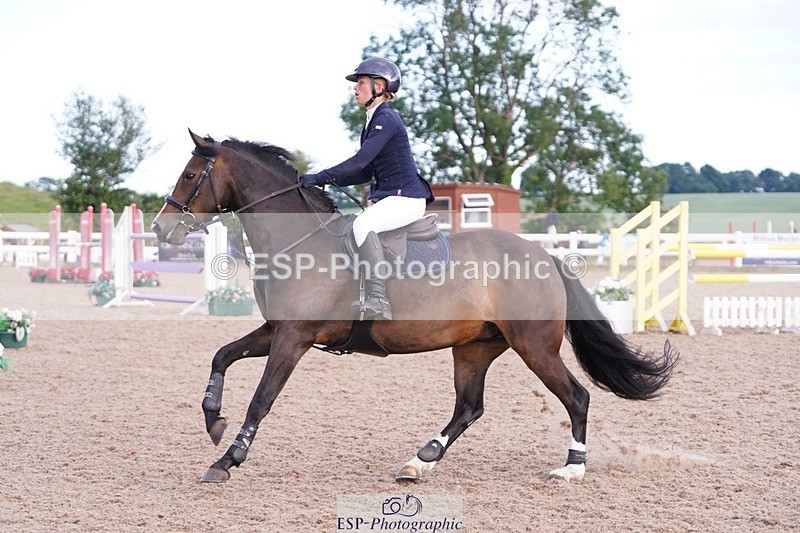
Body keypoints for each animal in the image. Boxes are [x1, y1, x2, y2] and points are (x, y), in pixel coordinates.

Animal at [151, 129, 679, 484]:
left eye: (191, 175)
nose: (160, 228)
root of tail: (544, 255)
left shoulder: (294, 337)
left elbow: (262, 398)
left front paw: (227, 460)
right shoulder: (275, 330)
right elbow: (221, 355)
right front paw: (213, 421)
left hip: (535, 346)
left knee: (576, 396)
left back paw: (571, 468)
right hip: (475, 347)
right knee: (469, 407)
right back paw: (419, 459)